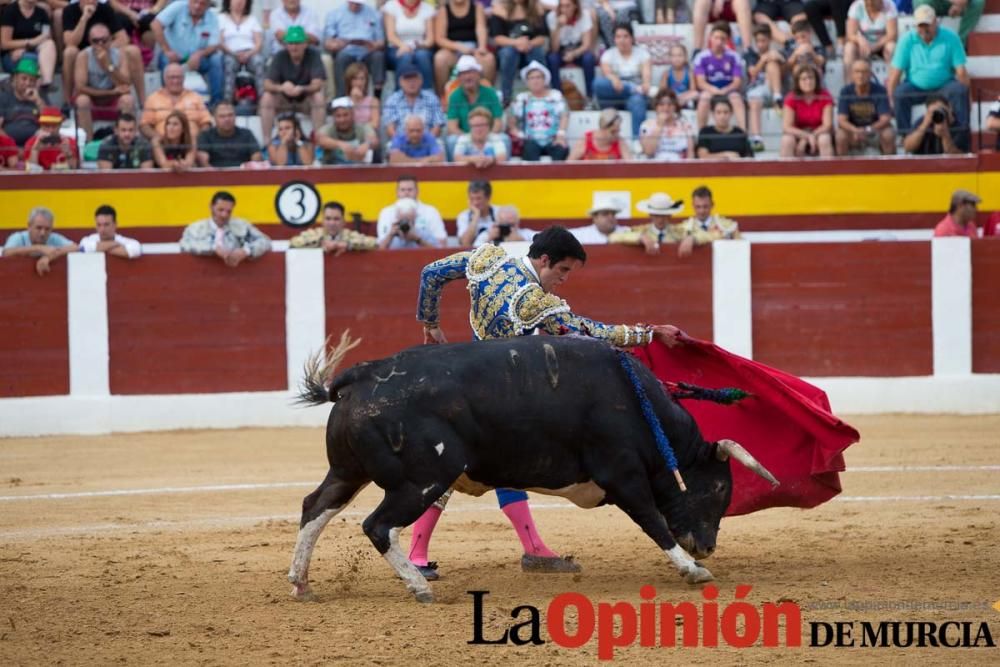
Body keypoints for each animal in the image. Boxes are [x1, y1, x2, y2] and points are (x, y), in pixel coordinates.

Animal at [286, 336, 776, 604]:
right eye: (719, 490)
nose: (707, 547)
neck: (639, 406)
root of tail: (362, 376)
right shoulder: (622, 475)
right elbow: (653, 521)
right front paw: (693, 571)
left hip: (348, 471)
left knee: (316, 507)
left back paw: (301, 583)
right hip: (420, 480)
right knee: (378, 525)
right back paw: (419, 586)